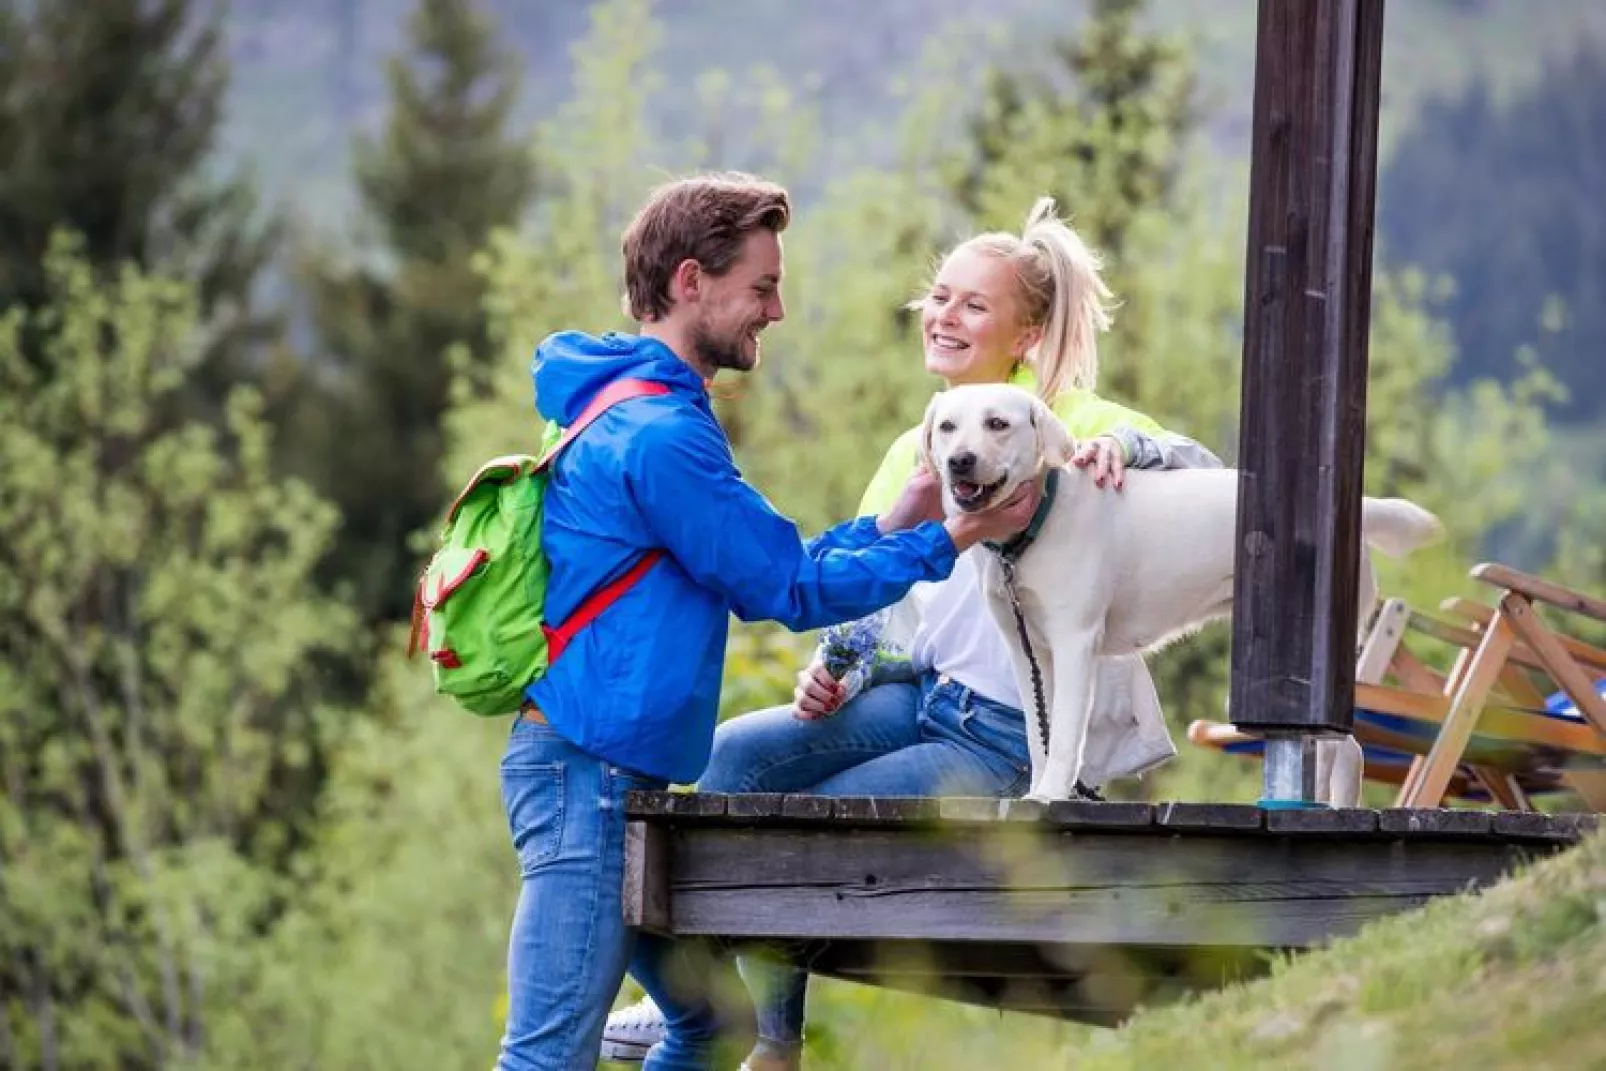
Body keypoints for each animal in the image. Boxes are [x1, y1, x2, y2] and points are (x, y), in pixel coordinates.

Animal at [925, 385, 1451, 802]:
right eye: (948, 427)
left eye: (997, 423)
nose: (958, 461)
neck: (1037, 521)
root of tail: (1354, 510)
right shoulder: (1028, 651)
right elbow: (1041, 736)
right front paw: (1038, 790)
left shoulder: (1075, 642)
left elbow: (1067, 735)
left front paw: (1050, 795)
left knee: (1343, 750)